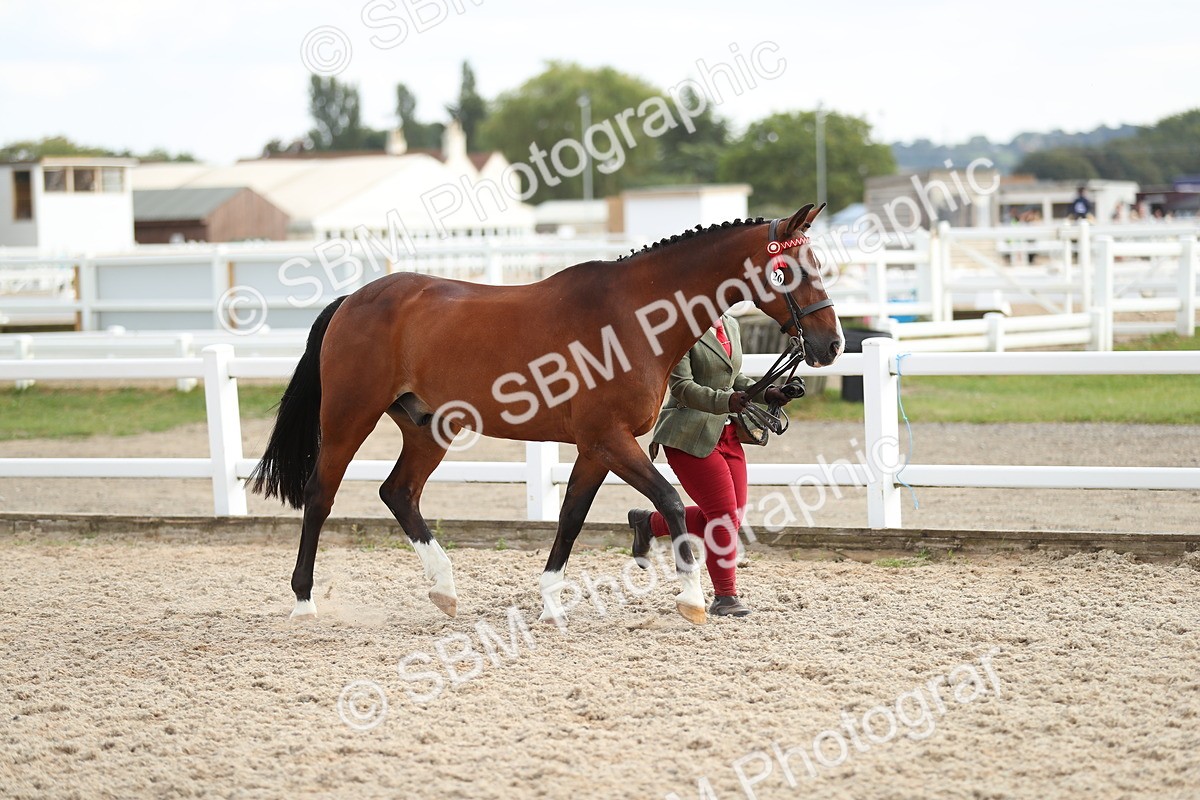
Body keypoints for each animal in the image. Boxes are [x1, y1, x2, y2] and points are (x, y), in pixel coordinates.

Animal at [249, 203, 842, 626]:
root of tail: (352, 300)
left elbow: (570, 518)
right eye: (788, 270)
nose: (831, 344)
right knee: (321, 496)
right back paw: (304, 602)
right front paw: (692, 601)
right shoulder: (610, 439)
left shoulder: (596, 448)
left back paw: (445, 590)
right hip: (349, 419)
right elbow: (671, 502)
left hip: (429, 428)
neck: (632, 316)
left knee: (398, 492)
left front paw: (552, 603)